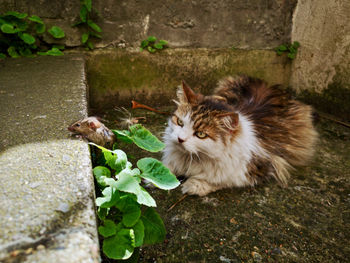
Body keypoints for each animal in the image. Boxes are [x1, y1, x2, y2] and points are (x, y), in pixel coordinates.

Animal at [163, 75, 318, 197]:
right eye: (180, 122)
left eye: (201, 134)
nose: (180, 139)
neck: (194, 158)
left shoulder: (259, 168)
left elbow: (221, 180)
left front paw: (195, 185)